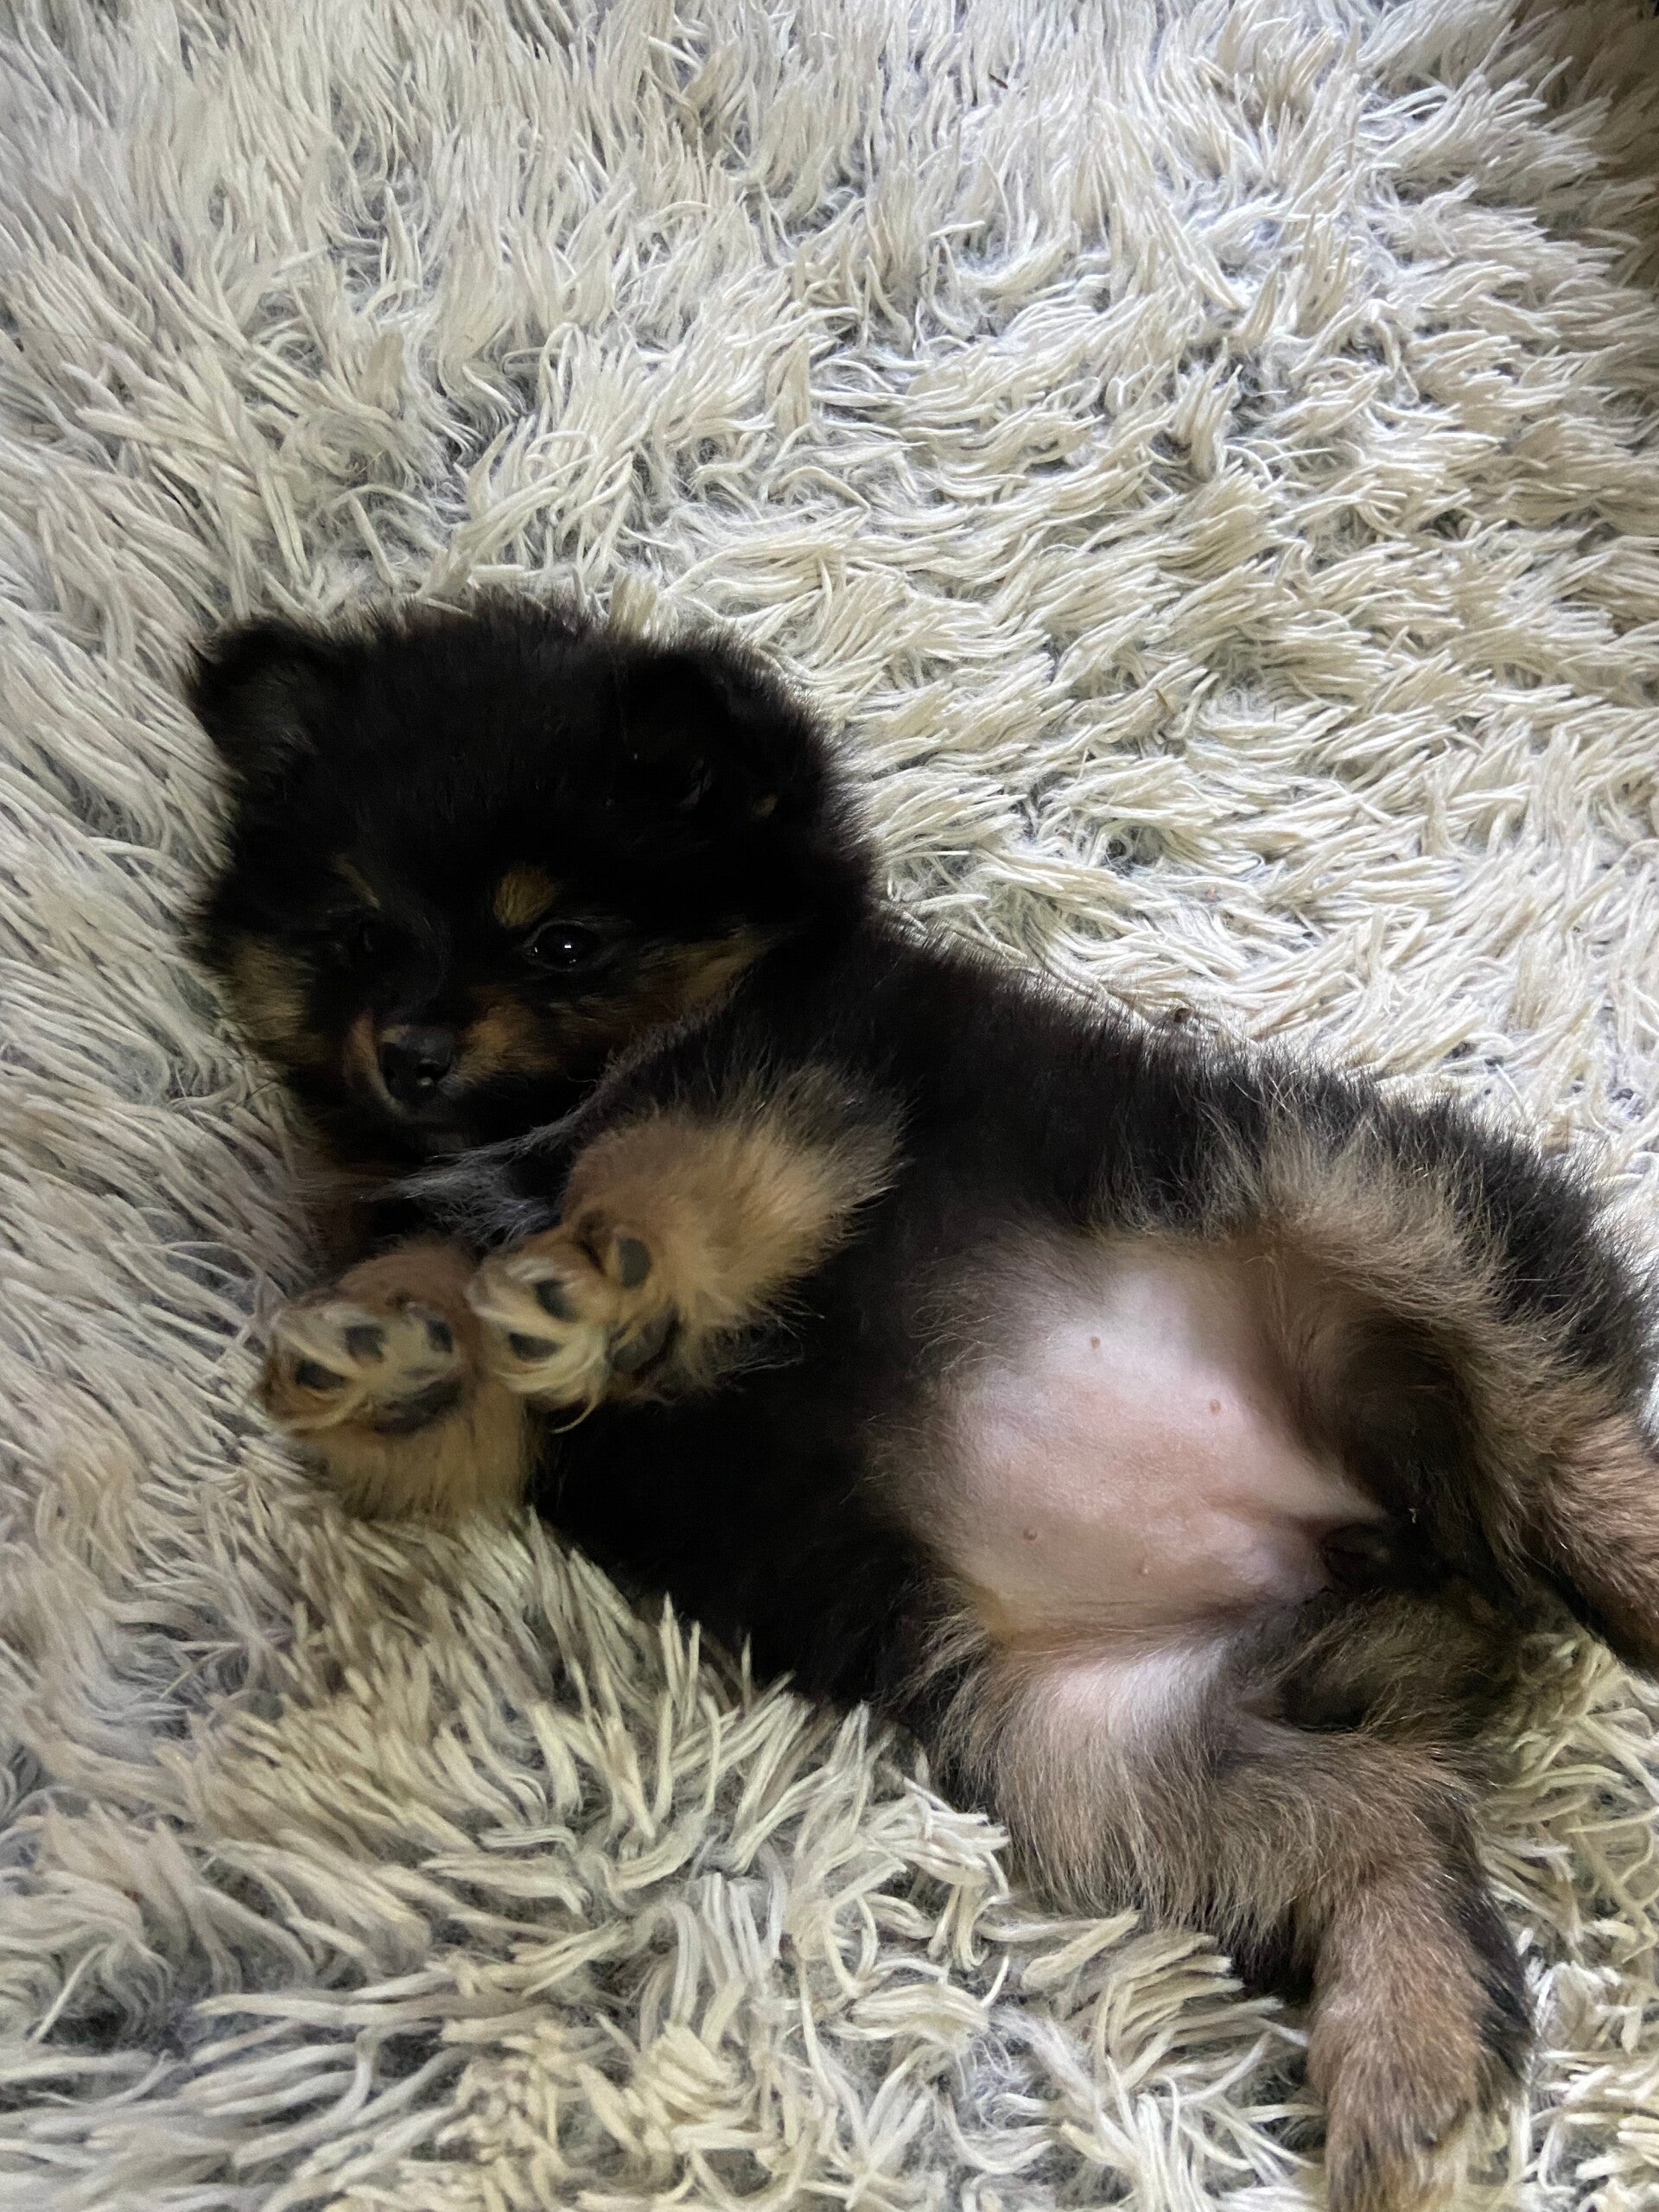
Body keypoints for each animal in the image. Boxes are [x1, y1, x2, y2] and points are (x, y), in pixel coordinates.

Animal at [193, 596, 1659, 2212]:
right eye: (353, 937)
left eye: (565, 942)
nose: (410, 1051)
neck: (518, 1135)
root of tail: (1369, 1554)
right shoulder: (533, 1415)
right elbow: (461, 1372)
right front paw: (390, 1345)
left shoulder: (798, 1083)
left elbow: (664, 1168)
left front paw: (597, 1271)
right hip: (1117, 1762)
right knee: (1386, 1835)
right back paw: (1414, 2072)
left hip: (1364, 1210)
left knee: (1556, 1440)